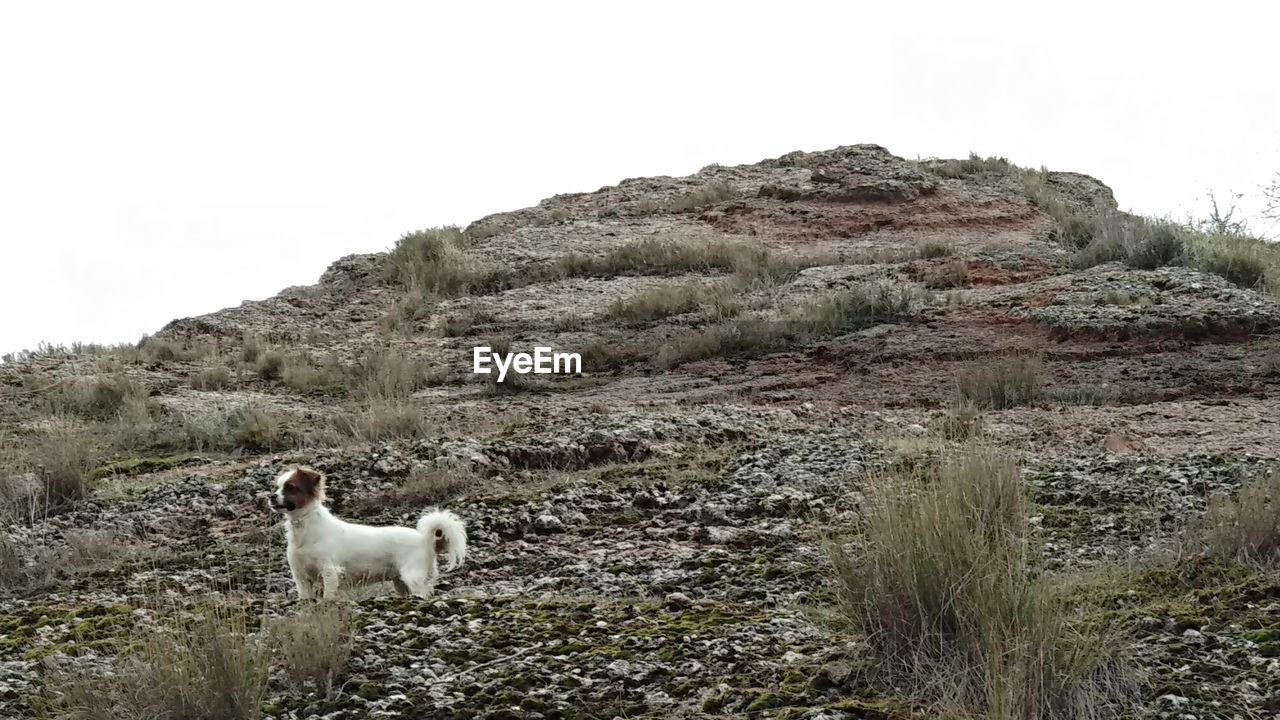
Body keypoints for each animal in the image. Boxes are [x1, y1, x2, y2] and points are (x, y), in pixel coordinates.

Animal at [263, 461, 465, 597]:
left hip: (413, 578)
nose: (271, 496)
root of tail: (424, 540)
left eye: (291, 487)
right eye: (277, 487)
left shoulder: (330, 572)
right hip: (401, 583)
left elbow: (328, 598)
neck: (305, 527)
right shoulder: (301, 577)